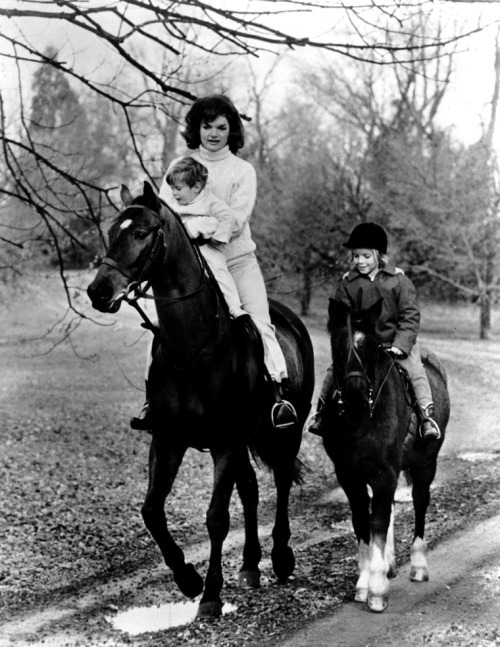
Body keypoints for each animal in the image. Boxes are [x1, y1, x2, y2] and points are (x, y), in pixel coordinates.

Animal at [86, 181, 312, 616]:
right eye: (110, 231)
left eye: (141, 233)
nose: (98, 291)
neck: (192, 348)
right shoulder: (168, 440)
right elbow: (152, 511)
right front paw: (188, 578)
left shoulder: (225, 440)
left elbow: (216, 517)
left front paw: (210, 595)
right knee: (251, 489)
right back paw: (250, 566)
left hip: (285, 430)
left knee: (280, 481)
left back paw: (280, 557)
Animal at [322, 298, 452, 612]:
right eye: (338, 346)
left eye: (371, 347)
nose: (355, 397)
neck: (361, 419)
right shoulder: (349, 475)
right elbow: (361, 521)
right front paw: (364, 581)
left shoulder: (384, 472)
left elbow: (377, 522)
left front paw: (377, 588)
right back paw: (390, 564)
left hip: (425, 463)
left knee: (419, 503)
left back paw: (418, 566)